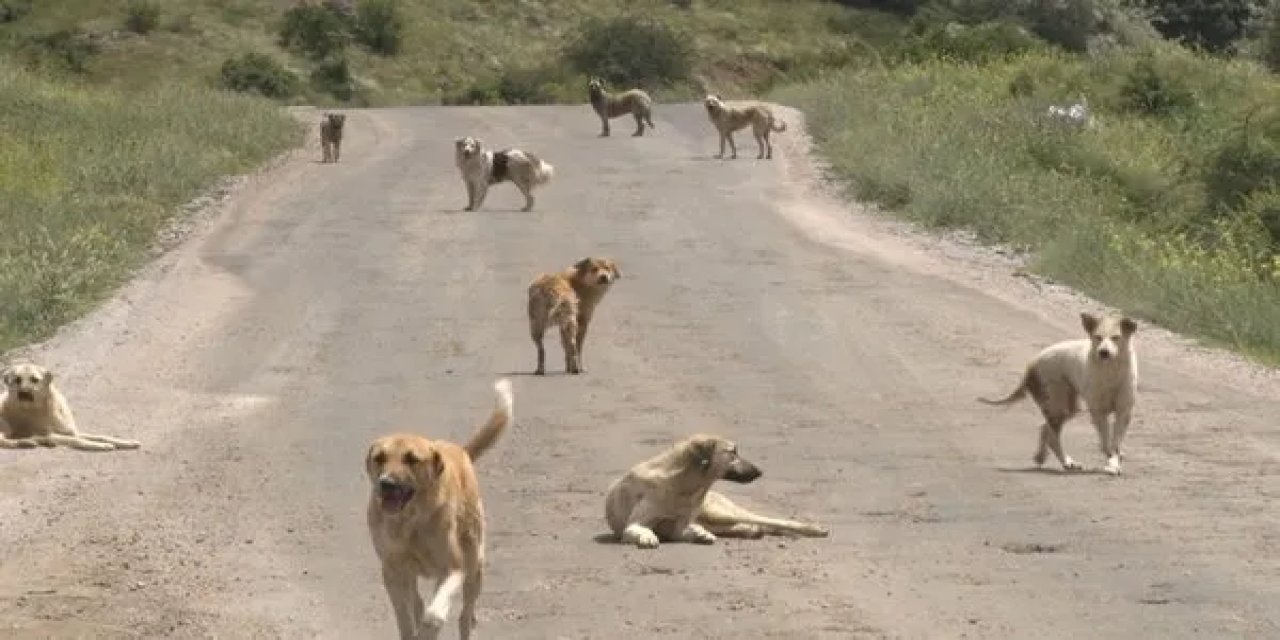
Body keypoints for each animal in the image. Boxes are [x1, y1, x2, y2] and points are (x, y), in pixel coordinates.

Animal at [1, 363, 142, 453]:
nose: (23, 393)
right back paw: (27, 442)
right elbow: (77, 440)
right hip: (5, 425)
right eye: (17, 379)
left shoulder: (71, 431)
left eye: (34, 379)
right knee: (4, 441)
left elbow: (101, 436)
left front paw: (126, 442)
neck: (46, 407)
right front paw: (100, 445)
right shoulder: (54, 434)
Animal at [363, 376, 512, 640]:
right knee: (418, 602)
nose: (386, 484)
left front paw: (428, 629)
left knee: (465, 615)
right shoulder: (392, 570)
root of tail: (460, 450)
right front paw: (412, 629)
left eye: (412, 459)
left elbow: (434, 616)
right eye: (379, 458)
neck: (411, 520)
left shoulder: (453, 569)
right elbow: (405, 616)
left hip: (475, 565)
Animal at [606, 432, 834, 547]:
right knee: (753, 526)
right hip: (722, 521)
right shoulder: (638, 523)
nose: (760, 471)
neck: (683, 486)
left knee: (772, 521)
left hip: (720, 513)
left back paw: (812, 529)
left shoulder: (681, 524)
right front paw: (647, 536)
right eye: (732, 452)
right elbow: (638, 529)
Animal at [977, 309, 1141, 476]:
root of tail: (1033, 362)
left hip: (1068, 407)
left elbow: (1114, 443)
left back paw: (1042, 456)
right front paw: (1112, 464)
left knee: (1045, 428)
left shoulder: (1123, 412)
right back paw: (1067, 462)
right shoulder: (1098, 412)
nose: (1103, 352)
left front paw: (1114, 461)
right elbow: (1108, 443)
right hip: (1059, 405)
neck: (1111, 371)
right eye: (1098, 337)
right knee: (1053, 438)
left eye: (1116, 337)